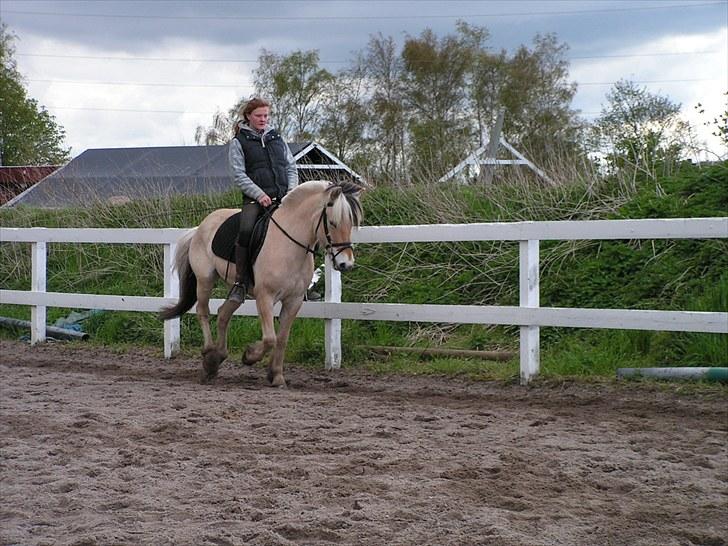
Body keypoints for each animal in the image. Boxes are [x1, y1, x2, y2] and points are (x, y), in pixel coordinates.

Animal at [160, 181, 364, 384]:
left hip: (236, 288)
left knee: (223, 313)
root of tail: (200, 227)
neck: (289, 245)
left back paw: (219, 356)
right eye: (333, 223)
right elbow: (270, 338)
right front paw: (249, 356)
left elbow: (282, 339)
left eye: (351, 223)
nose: (346, 264)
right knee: (203, 311)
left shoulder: (294, 300)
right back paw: (210, 358)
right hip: (205, 280)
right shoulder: (265, 297)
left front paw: (276, 375)